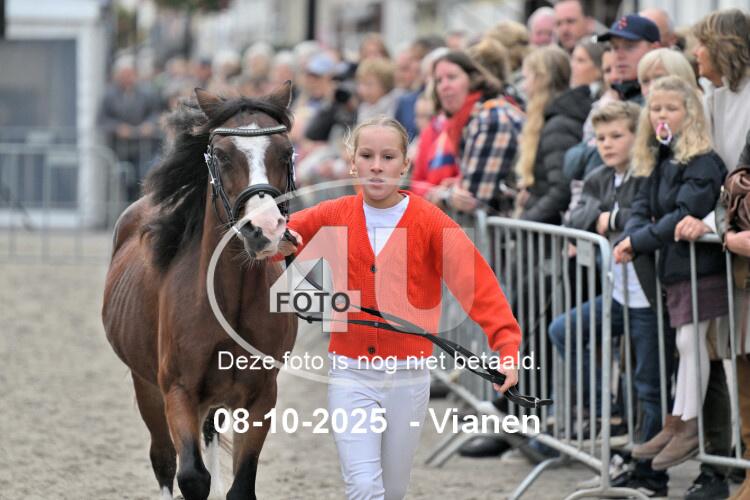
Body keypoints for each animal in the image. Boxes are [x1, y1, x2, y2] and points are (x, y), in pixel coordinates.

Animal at [102, 84, 298, 500]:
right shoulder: (178, 391)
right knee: (163, 458)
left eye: (286, 152)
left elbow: (240, 485)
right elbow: (191, 476)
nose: (264, 230)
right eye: (221, 155)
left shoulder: (261, 395)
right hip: (146, 385)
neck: (229, 300)